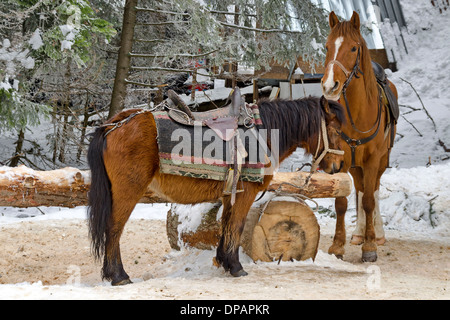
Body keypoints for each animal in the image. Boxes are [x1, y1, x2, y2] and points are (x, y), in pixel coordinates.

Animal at [88, 95, 346, 284]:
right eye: (335, 130)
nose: (337, 166)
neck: (263, 132)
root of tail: (115, 124)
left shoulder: (231, 194)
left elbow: (226, 225)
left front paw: (224, 261)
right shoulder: (246, 193)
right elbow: (237, 226)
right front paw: (236, 267)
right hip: (127, 192)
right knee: (114, 229)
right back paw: (118, 275)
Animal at [320, 11, 398, 262]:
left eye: (354, 48)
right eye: (327, 46)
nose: (329, 85)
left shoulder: (373, 160)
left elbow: (370, 200)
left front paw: (370, 246)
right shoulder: (341, 160)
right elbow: (342, 202)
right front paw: (338, 245)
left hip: (381, 160)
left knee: (373, 190)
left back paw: (377, 234)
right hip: (355, 165)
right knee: (362, 187)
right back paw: (358, 233)